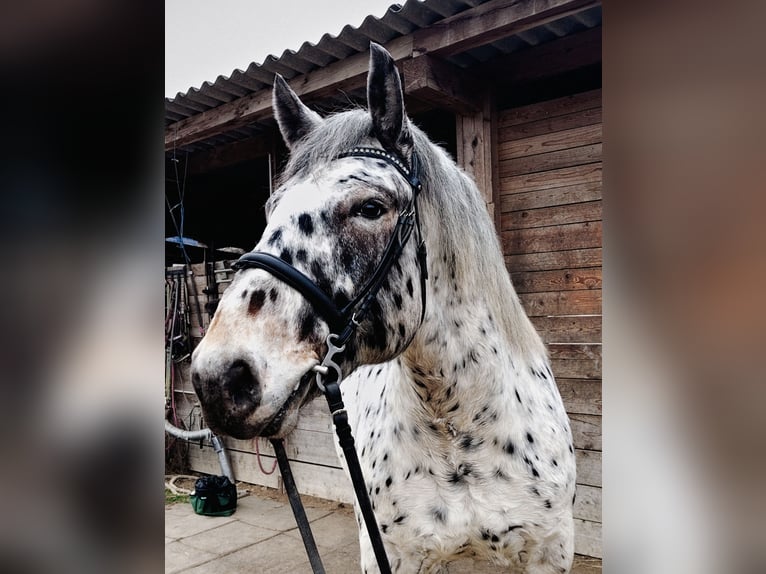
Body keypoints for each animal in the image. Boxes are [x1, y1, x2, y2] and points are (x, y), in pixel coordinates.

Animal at [191, 43, 576, 574]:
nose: (218, 378)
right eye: (271, 210)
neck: (459, 425)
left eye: (370, 208)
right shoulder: (394, 555)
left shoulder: (547, 554)